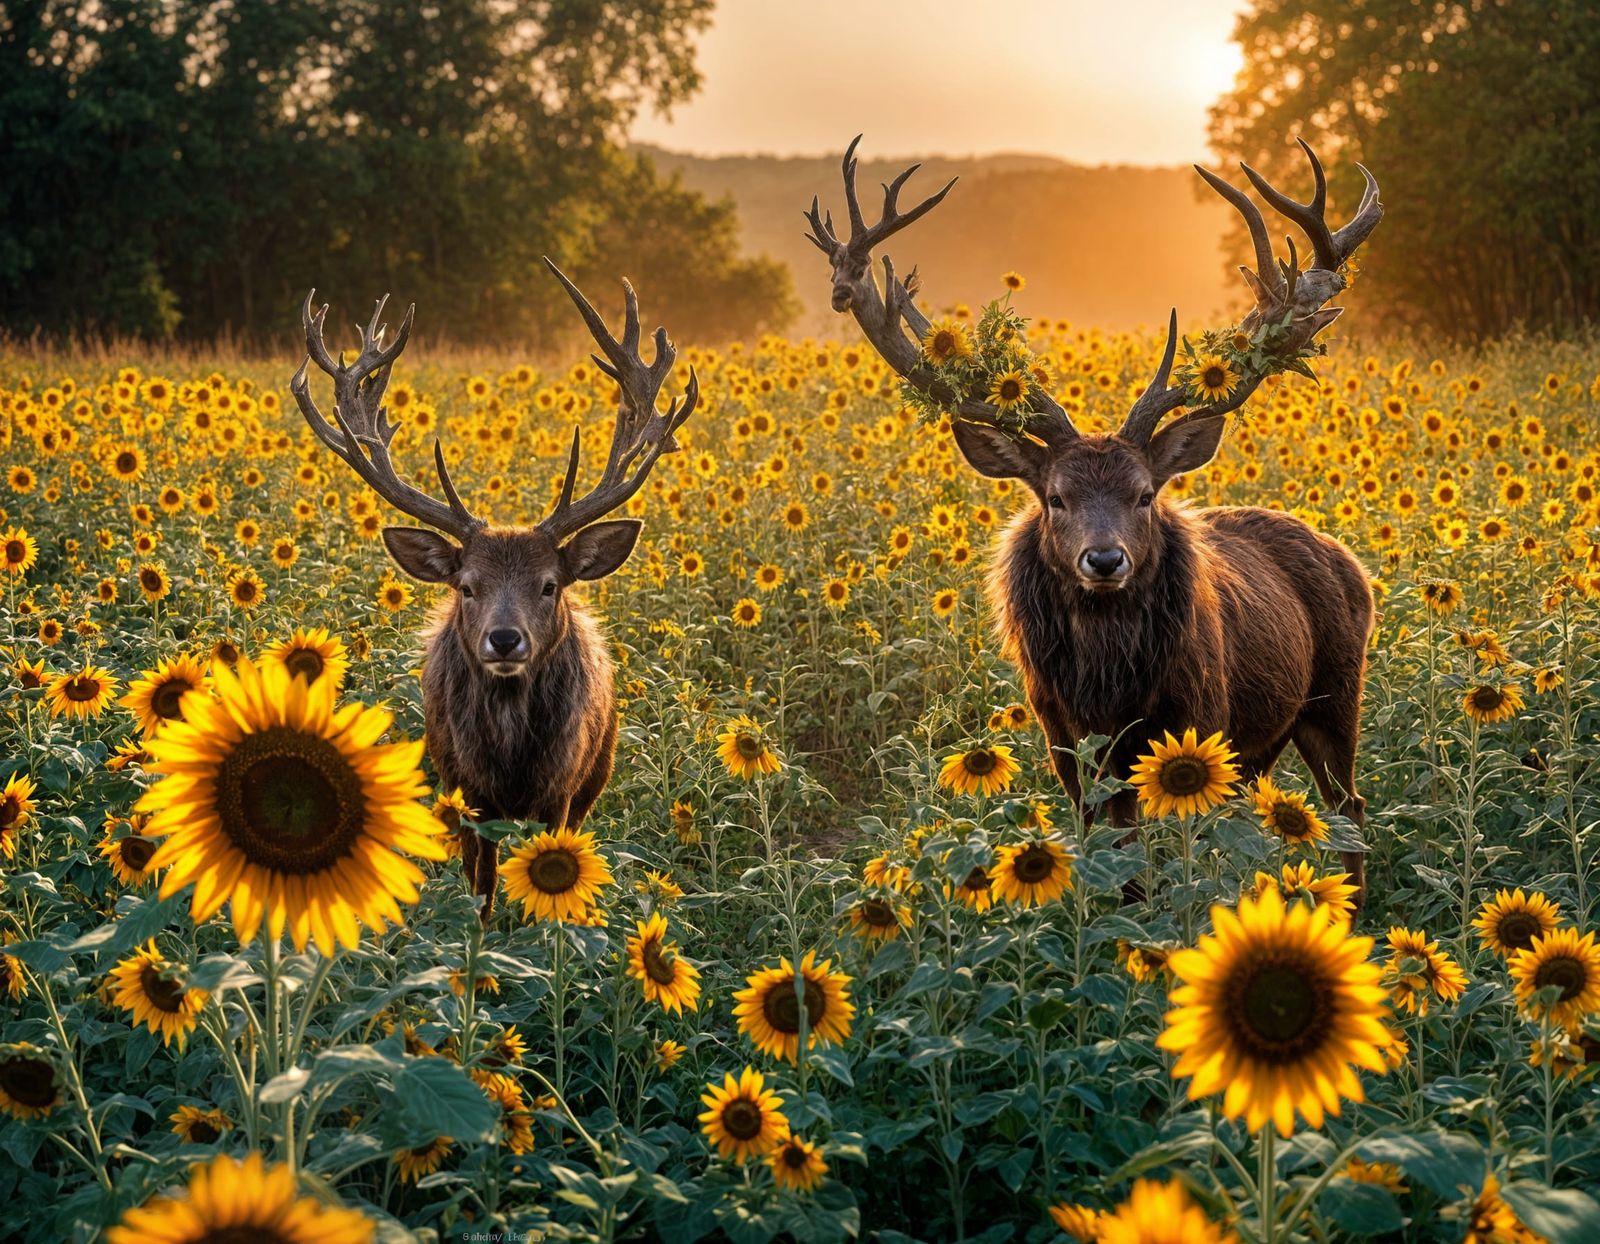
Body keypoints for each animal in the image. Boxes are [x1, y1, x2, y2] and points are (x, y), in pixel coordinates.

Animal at [290, 260, 698, 920]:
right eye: (467, 587)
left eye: (550, 585)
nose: (505, 640)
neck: (510, 759)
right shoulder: (465, 786)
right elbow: (478, 886)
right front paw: (481, 937)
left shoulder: (563, 787)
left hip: (600, 766)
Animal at [805, 136, 1382, 902]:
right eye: (1055, 497)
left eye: (1143, 494)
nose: (1104, 560)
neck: (1107, 685)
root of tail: (1351, 563)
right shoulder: (1064, 734)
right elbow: (1113, 854)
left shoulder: (1197, 719)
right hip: (1268, 735)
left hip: (1337, 692)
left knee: (1349, 807)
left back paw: (1353, 908)